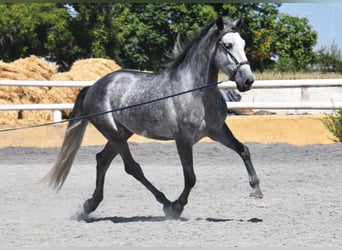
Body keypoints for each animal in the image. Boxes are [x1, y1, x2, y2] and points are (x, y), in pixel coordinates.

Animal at [42, 16, 262, 218]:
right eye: (228, 45)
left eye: (244, 44)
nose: (247, 80)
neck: (196, 92)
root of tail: (93, 87)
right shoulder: (183, 139)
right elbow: (190, 177)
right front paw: (177, 207)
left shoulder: (217, 130)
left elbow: (243, 150)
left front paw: (257, 190)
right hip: (114, 134)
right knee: (132, 167)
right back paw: (165, 203)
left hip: (122, 133)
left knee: (102, 160)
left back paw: (90, 205)